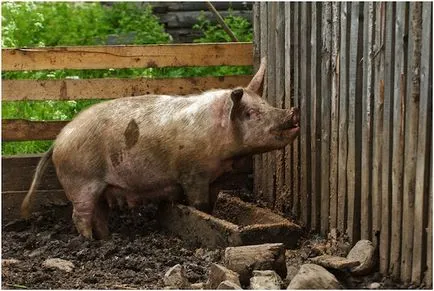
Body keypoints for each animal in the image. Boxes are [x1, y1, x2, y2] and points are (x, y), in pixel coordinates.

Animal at [20, 58, 298, 241]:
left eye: (266, 103)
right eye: (251, 113)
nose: (292, 113)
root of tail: (58, 139)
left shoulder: (218, 178)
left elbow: (211, 205)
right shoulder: (192, 173)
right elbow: (198, 204)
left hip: (97, 185)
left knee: (98, 213)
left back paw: (107, 239)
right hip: (80, 181)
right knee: (80, 215)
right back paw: (90, 243)